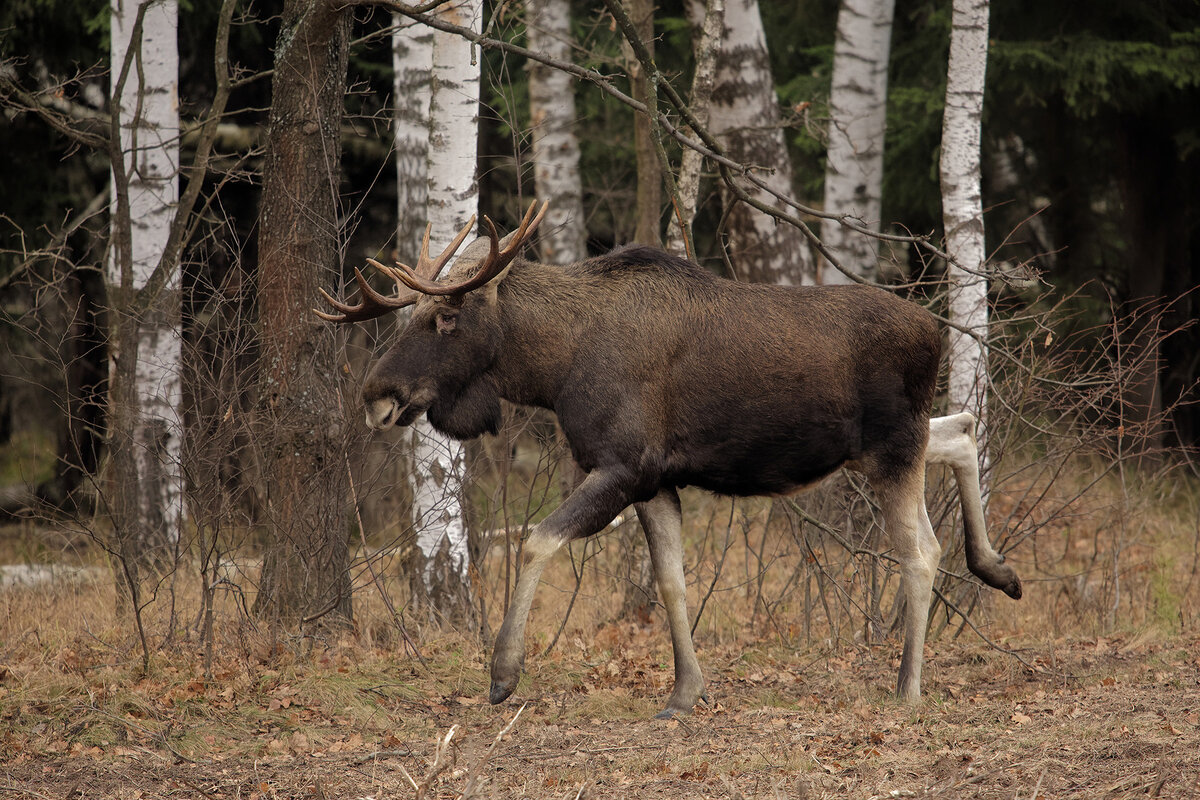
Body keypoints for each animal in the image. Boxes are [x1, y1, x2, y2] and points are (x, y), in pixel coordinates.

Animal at [319, 201, 1022, 719]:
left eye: (445, 317)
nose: (375, 393)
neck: (553, 368)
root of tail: (936, 333)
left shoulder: (624, 465)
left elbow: (535, 539)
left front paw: (503, 673)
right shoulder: (656, 480)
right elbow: (671, 580)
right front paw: (684, 693)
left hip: (888, 448)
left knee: (922, 547)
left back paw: (907, 686)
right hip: (888, 444)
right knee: (960, 430)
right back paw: (998, 568)